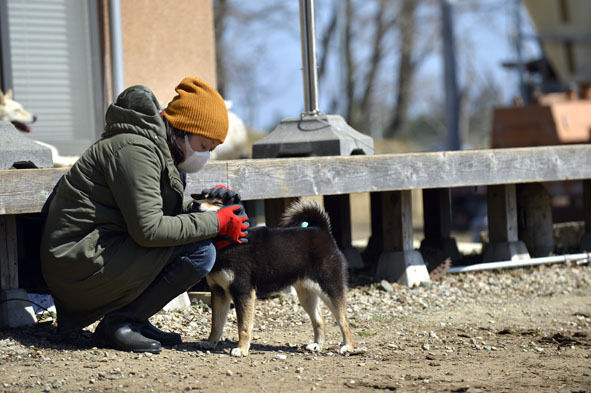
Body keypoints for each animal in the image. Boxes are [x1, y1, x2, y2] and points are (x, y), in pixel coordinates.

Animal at [194, 198, 354, 356]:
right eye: (202, 196)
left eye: (217, 202)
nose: (194, 203)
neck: (228, 243)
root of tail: (322, 230)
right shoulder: (218, 292)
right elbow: (216, 324)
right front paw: (210, 342)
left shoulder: (243, 292)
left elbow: (243, 327)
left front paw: (242, 349)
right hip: (306, 294)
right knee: (319, 319)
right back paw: (317, 345)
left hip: (330, 288)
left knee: (343, 319)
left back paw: (348, 347)